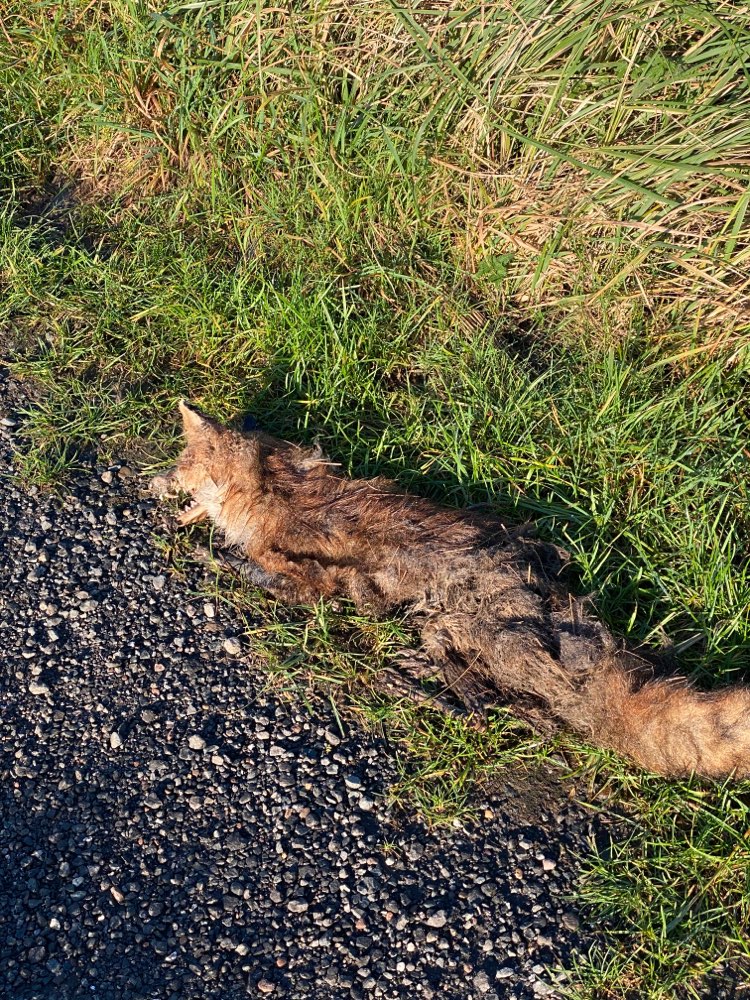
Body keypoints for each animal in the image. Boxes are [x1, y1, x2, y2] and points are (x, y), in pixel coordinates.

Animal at [152, 400, 750, 780]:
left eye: (181, 465)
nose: (151, 482)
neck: (271, 488)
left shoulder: (309, 580)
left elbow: (252, 570)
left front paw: (209, 553)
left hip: (467, 629)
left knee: (486, 712)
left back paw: (405, 680)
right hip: (459, 630)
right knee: (488, 701)